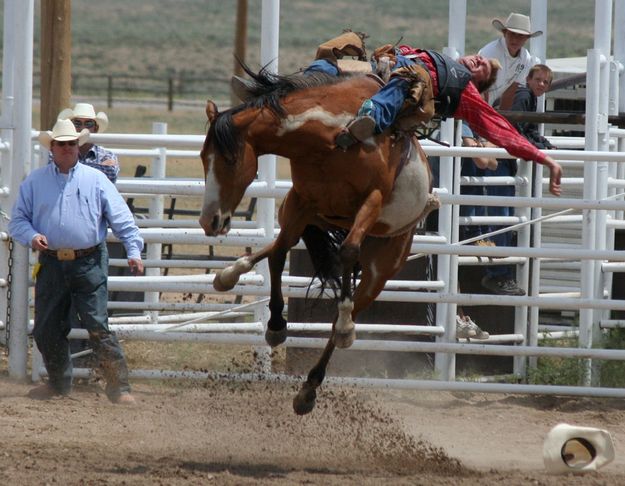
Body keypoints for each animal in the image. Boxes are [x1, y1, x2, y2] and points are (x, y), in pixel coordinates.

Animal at [197, 66, 436, 414]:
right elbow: (279, 253)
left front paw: (345, 325)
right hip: (306, 215)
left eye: (230, 160)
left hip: (383, 264)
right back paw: (230, 273)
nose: (209, 221)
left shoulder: (372, 200)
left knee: (346, 305)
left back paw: (311, 385)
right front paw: (275, 326)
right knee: (276, 246)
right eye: (203, 157)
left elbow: (347, 253)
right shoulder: (301, 201)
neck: (332, 138)